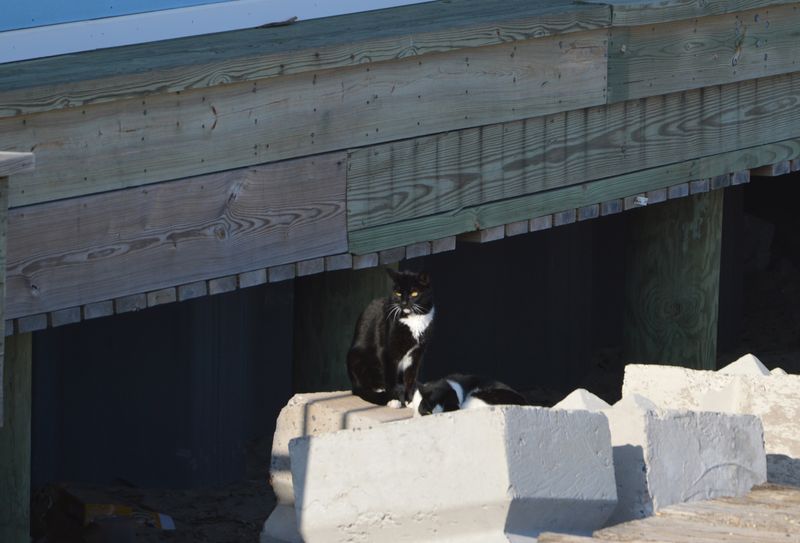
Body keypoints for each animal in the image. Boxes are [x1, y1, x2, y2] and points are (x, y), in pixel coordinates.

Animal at [344, 268, 432, 408]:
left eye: (414, 293)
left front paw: (409, 400)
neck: (412, 319)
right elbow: (390, 378)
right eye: (398, 293)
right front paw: (393, 399)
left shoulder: (417, 353)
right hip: (356, 356)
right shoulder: (387, 351)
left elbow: (411, 377)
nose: (404, 303)